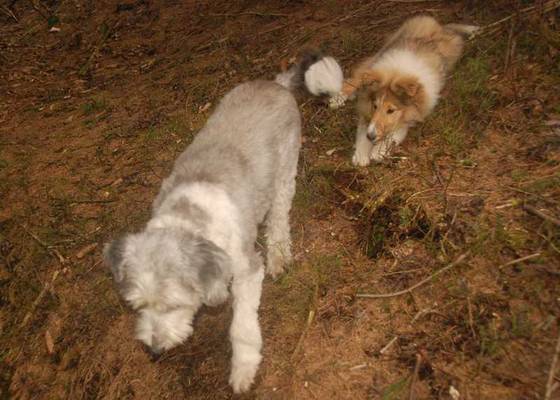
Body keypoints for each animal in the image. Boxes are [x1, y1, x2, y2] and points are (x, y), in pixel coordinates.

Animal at [103, 52, 342, 393]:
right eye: (138, 305)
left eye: (174, 305)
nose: (155, 350)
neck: (187, 218)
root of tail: (276, 83)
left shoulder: (247, 270)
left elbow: (241, 327)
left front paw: (243, 369)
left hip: (285, 173)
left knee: (279, 217)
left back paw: (279, 254)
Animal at [330, 16, 478, 166]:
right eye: (375, 106)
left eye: (391, 110)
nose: (371, 136)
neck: (396, 72)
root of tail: (440, 27)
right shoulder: (366, 108)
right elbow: (362, 129)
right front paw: (361, 155)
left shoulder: (414, 113)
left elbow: (398, 130)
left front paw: (378, 150)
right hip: (379, 55)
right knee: (355, 79)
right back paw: (337, 99)